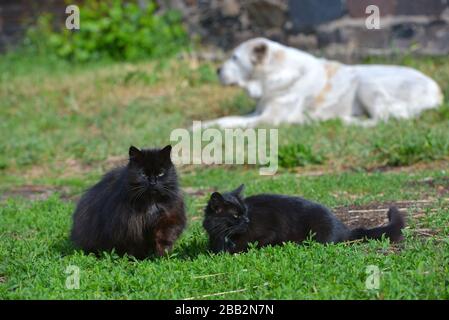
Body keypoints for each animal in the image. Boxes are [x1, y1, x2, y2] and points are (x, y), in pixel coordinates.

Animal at [201, 184, 404, 254]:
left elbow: (256, 242)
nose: (247, 221)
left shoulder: (271, 230)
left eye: (245, 213)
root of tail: (344, 227)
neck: (224, 235)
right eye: (236, 215)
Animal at [205, 37, 442, 127]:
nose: (217, 70)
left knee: (385, 118)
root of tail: (437, 93)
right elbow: (228, 118)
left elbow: (228, 122)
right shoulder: (258, 112)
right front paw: (205, 123)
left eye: (234, 58)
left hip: (367, 83)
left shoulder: (268, 119)